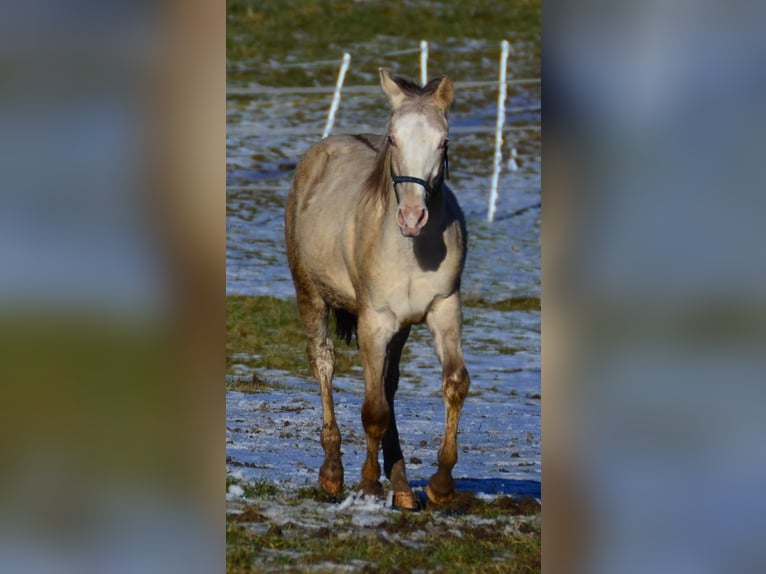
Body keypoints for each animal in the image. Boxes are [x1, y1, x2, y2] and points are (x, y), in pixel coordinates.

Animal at [284, 70, 472, 510]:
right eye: (393, 139)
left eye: (443, 141)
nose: (412, 217)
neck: (412, 250)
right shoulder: (374, 321)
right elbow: (373, 410)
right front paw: (368, 485)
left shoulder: (443, 308)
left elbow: (454, 384)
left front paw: (440, 485)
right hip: (310, 294)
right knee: (324, 363)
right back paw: (332, 472)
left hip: (401, 328)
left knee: (389, 383)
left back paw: (401, 485)